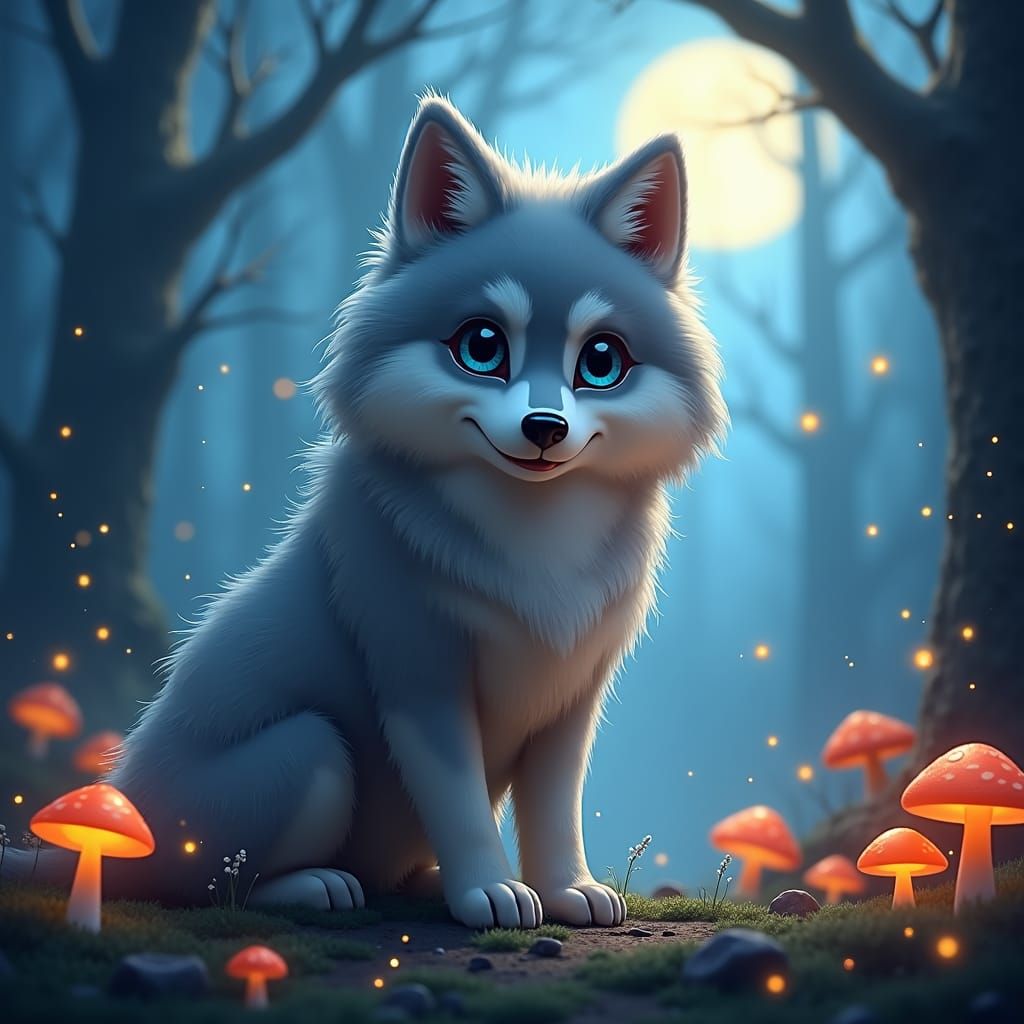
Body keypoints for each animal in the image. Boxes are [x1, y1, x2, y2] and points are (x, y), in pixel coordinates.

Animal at [32, 96, 726, 928]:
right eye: (482, 346)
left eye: (601, 361)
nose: (544, 428)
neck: (535, 546)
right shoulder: (417, 672)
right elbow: (460, 804)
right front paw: (490, 892)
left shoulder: (574, 694)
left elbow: (555, 808)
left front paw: (567, 891)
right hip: (309, 750)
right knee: (207, 888)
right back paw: (319, 887)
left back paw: (415, 881)